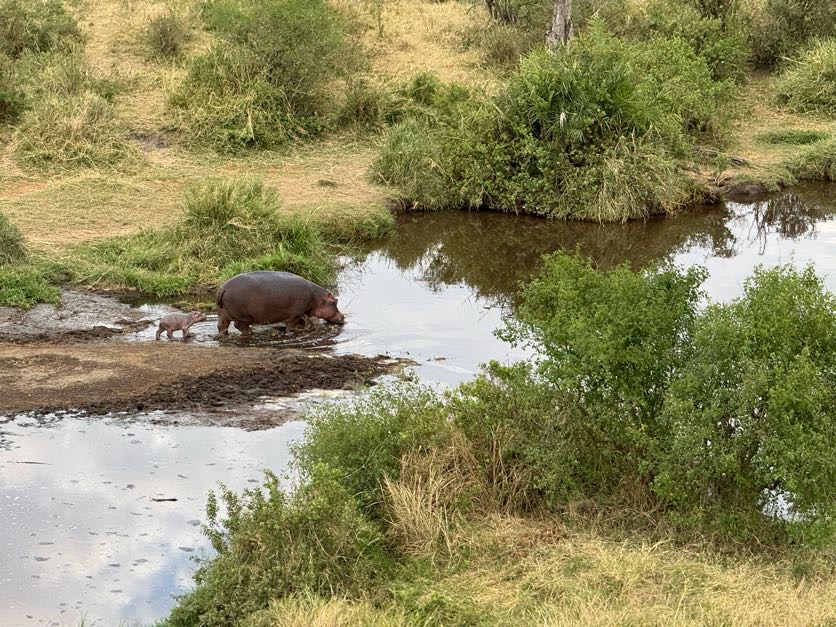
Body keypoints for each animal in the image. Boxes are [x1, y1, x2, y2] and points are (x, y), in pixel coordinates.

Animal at [216, 271, 345, 336]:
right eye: (335, 301)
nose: (343, 316)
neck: (317, 298)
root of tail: (223, 289)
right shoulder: (296, 314)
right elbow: (291, 326)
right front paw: (289, 331)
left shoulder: (299, 314)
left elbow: (301, 323)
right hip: (244, 317)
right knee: (239, 326)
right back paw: (251, 333)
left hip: (223, 314)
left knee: (221, 326)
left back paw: (224, 336)